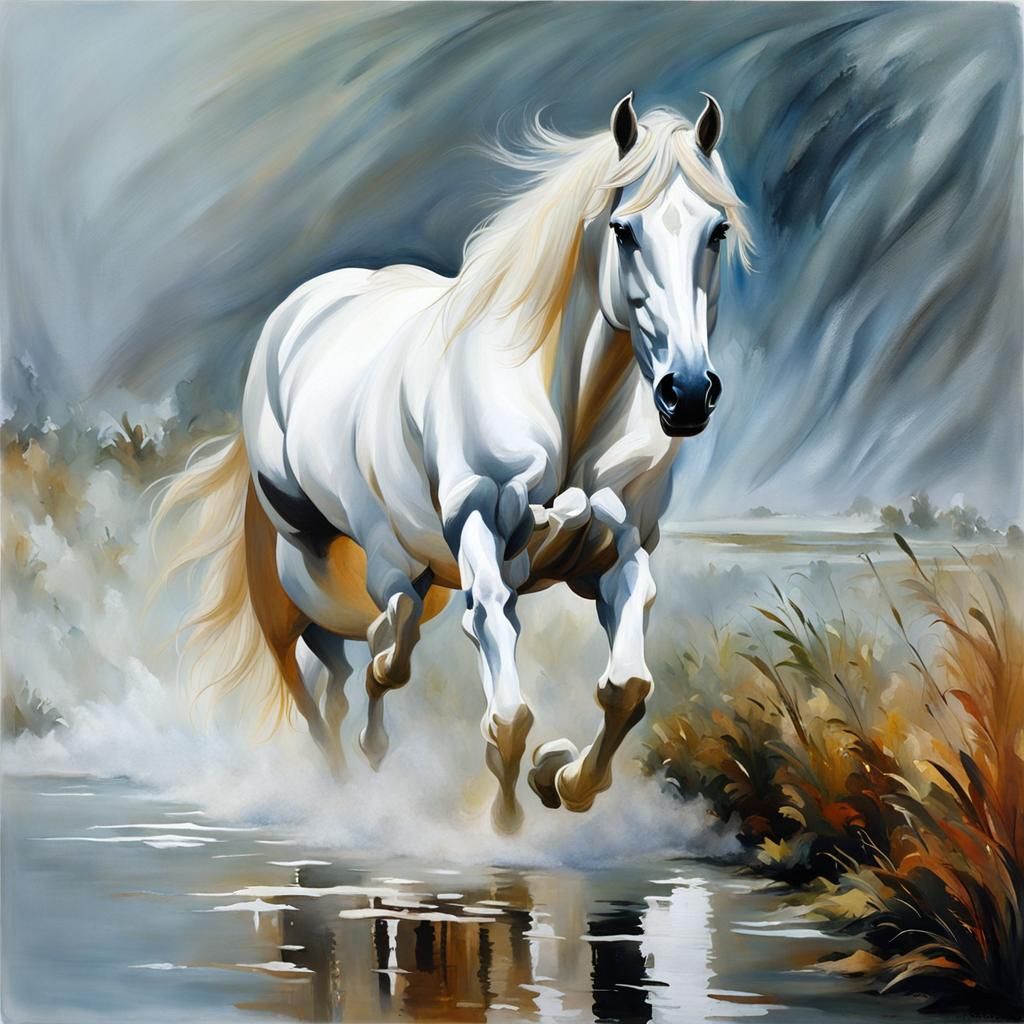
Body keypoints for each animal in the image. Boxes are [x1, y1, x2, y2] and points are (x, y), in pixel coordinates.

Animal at [155, 92, 753, 832]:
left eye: (716, 231)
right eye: (624, 230)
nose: (688, 393)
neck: (565, 408)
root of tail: (296, 313)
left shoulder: (621, 551)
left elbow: (626, 687)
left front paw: (561, 776)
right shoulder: (479, 535)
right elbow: (502, 705)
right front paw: (506, 818)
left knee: (349, 665)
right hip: (308, 560)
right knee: (321, 669)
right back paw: (349, 771)